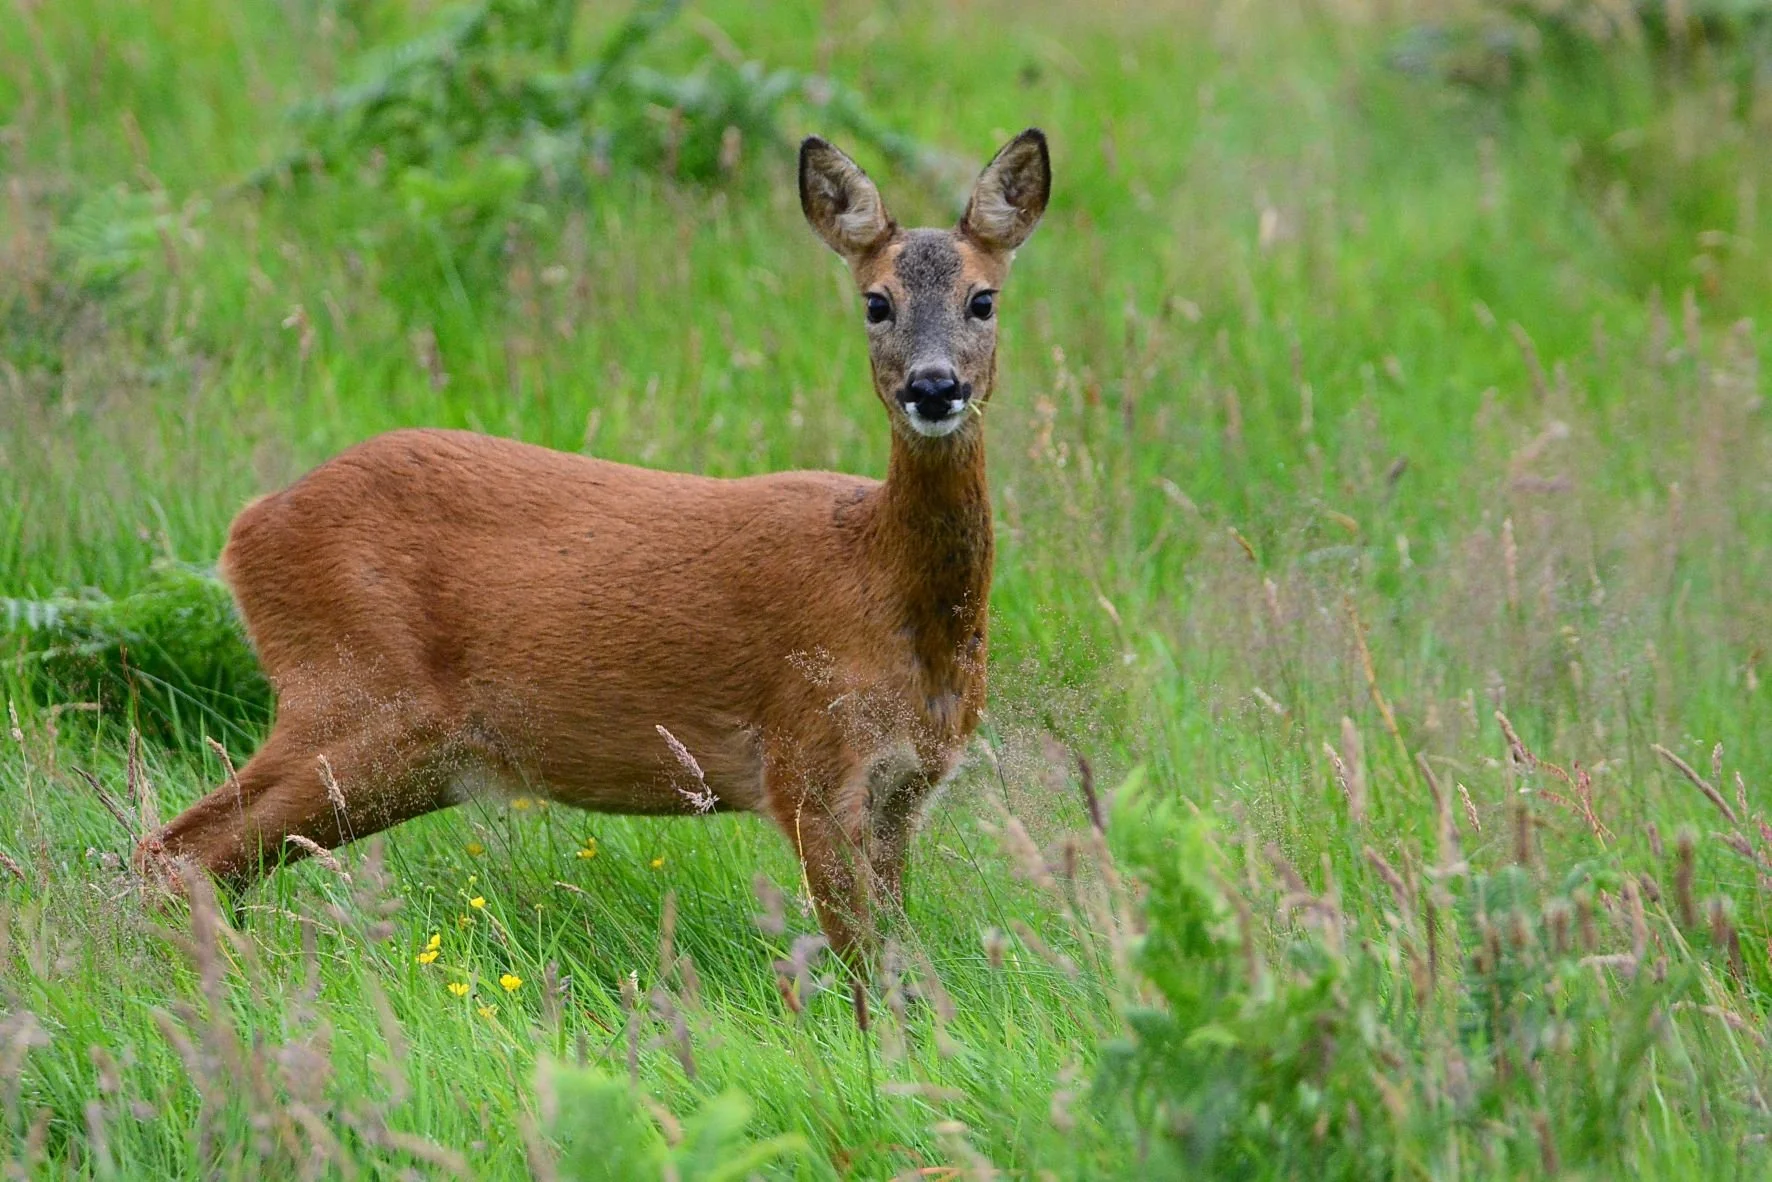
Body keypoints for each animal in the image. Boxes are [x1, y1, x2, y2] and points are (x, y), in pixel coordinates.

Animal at [137, 129, 1052, 966]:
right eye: (875, 302)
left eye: (983, 299)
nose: (934, 387)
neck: (885, 585)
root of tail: (249, 528)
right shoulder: (808, 761)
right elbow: (862, 956)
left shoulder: (906, 785)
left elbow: (897, 946)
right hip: (354, 694)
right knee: (177, 849)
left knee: (212, 858)